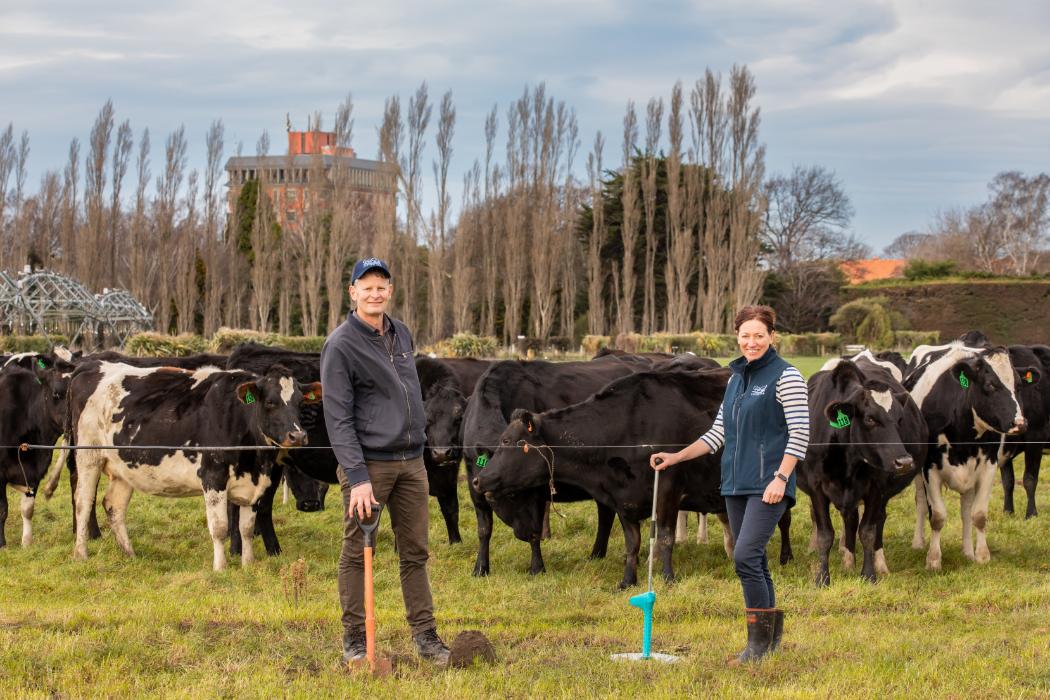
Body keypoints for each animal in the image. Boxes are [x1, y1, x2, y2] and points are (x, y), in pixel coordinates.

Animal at [67, 361, 319, 570]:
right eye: (270, 402)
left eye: (300, 402)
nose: (297, 436)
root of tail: (92, 365)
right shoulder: (213, 476)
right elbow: (220, 527)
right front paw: (220, 568)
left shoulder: (252, 483)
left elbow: (246, 528)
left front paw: (248, 564)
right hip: (88, 456)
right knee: (83, 503)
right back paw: (81, 554)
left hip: (123, 467)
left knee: (113, 506)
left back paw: (130, 554)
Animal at [464, 358, 642, 579]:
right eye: (510, 494)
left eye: (520, 491)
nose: (523, 532)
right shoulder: (474, 487)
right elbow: (484, 530)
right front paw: (480, 568)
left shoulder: (539, 492)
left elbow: (536, 530)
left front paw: (537, 568)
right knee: (606, 513)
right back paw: (596, 554)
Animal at [476, 369, 739, 587]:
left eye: (507, 441)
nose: (479, 479)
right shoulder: (622, 499)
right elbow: (632, 543)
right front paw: (628, 581)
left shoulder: (668, 490)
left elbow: (665, 537)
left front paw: (667, 579)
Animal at [797, 350, 923, 587]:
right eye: (870, 419)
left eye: (900, 419)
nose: (904, 462)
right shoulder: (817, 488)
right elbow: (825, 535)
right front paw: (823, 578)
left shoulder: (876, 487)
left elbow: (868, 532)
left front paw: (869, 574)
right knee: (850, 519)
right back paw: (848, 560)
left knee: (877, 519)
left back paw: (878, 563)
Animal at [902, 344, 1033, 570]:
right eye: (990, 385)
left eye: (1018, 385)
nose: (1020, 423)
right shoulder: (930, 469)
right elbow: (937, 516)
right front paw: (933, 559)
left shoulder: (988, 466)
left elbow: (978, 515)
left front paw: (981, 556)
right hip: (918, 471)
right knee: (920, 502)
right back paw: (918, 543)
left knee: (965, 510)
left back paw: (967, 552)